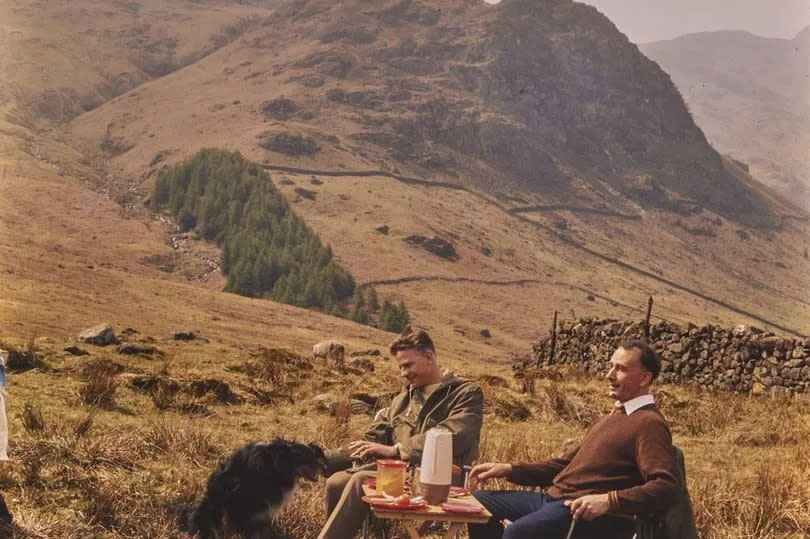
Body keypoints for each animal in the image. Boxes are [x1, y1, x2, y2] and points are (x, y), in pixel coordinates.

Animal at [178, 438, 326, 539]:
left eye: (314, 456)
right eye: (305, 457)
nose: (325, 468)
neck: (275, 466)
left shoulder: (262, 515)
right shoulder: (242, 510)